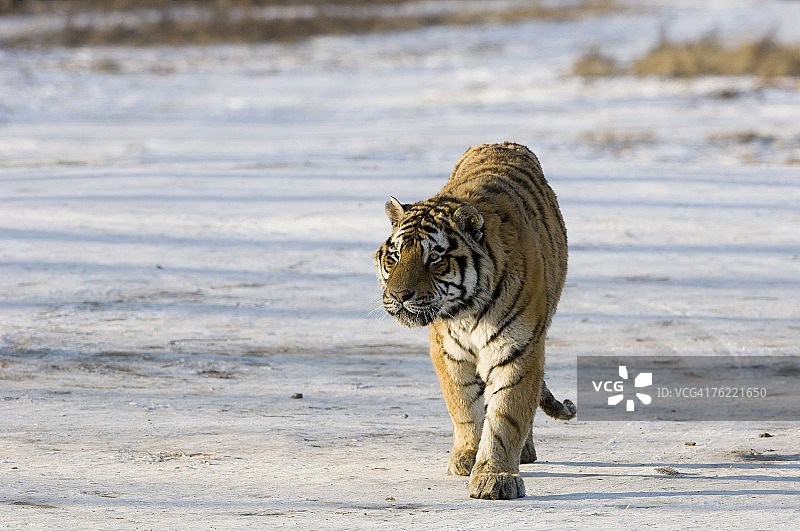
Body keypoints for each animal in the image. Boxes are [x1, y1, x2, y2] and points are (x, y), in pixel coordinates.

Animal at [374, 142, 575, 500]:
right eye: (394, 257)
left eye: (434, 259)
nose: (399, 295)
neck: (467, 312)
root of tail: (502, 141)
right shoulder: (448, 351)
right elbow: (464, 405)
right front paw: (468, 455)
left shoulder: (519, 348)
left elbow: (506, 415)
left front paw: (496, 477)